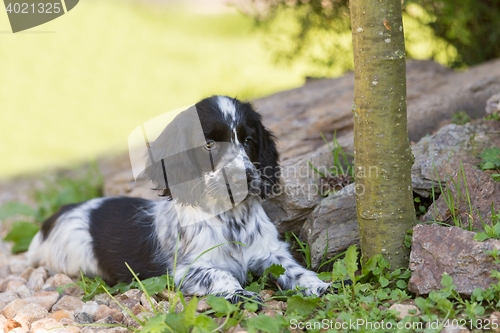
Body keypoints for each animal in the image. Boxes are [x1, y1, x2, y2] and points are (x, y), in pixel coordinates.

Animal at [28, 95, 332, 304]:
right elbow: (220, 274)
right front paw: (240, 294)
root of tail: (54, 218)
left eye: (248, 141)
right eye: (209, 144)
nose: (243, 178)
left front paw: (320, 286)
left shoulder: (271, 253)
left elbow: (295, 270)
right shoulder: (186, 269)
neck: (231, 218)